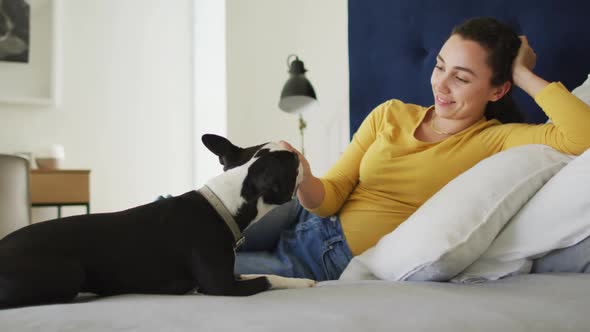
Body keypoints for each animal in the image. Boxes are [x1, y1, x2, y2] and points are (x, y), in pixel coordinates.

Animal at [0, 133, 314, 308]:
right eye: (292, 163)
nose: (298, 152)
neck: (222, 202)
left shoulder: (227, 275)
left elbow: (265, 275)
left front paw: (303, 281)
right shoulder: (219, 286)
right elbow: (265, 279)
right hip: (69, 272)